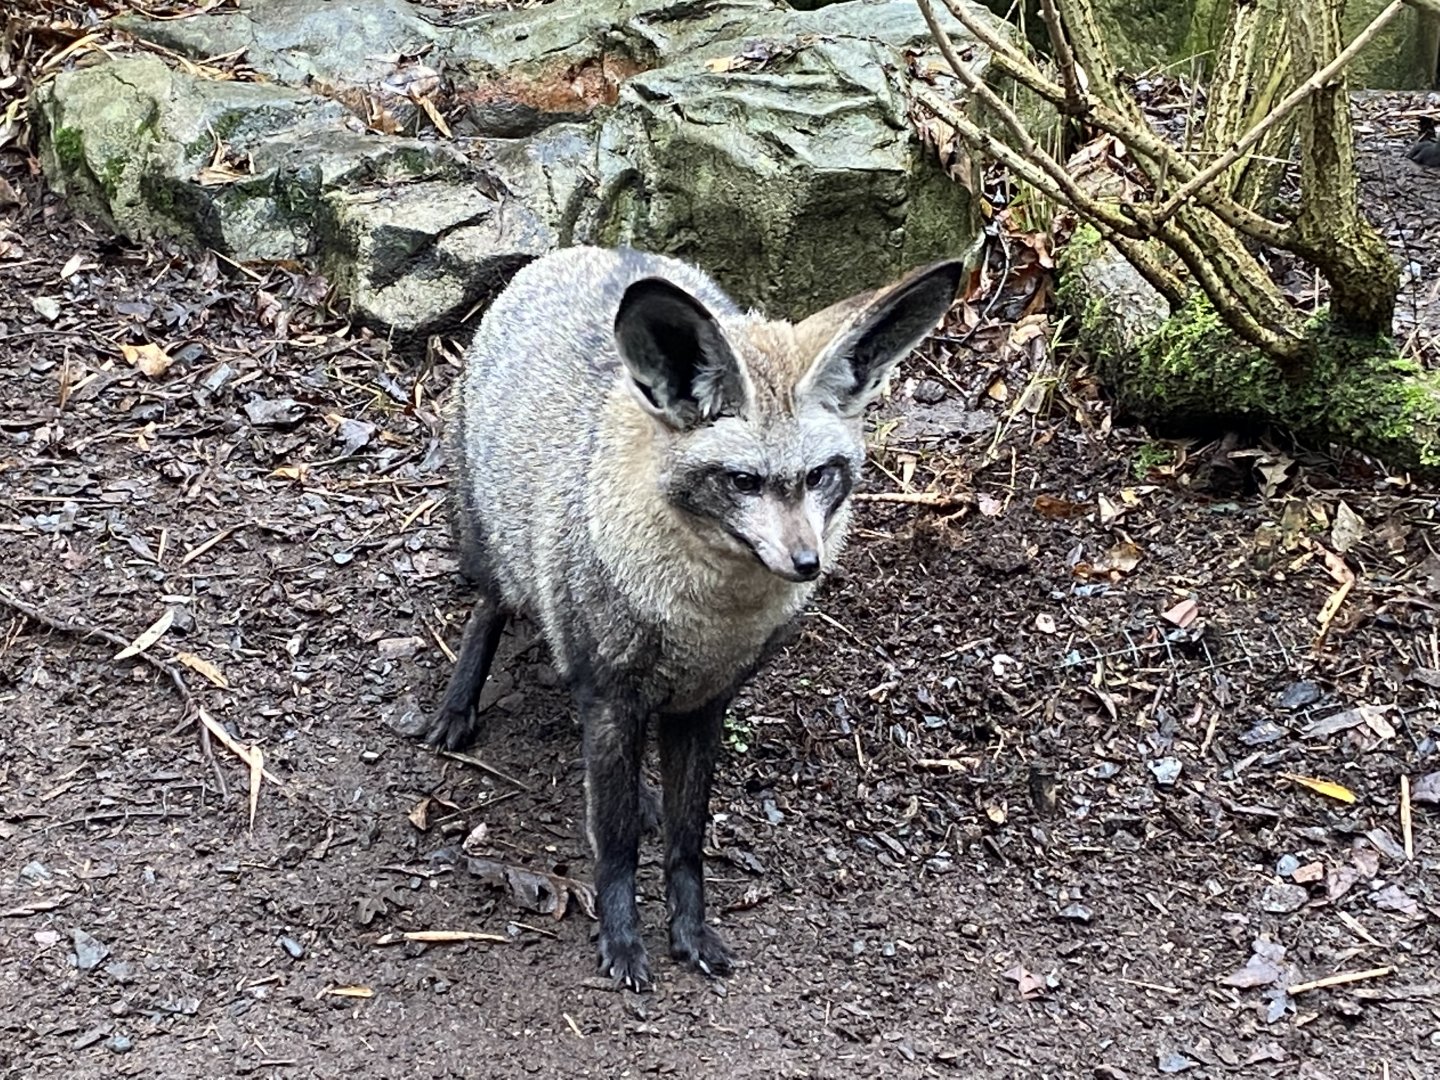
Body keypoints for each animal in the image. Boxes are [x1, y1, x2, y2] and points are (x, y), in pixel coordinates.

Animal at [421, 245, 962, 990]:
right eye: (743, 482)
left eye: (821, 475)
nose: (807, 562)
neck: (701, 627)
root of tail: (580, 251)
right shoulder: (613, 695)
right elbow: (616, 846)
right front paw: (622, 942)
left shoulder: (703, 705)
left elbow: (687, 843)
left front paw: (689, 932)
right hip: (494, 549)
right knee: (490, 607)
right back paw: (458, 705)